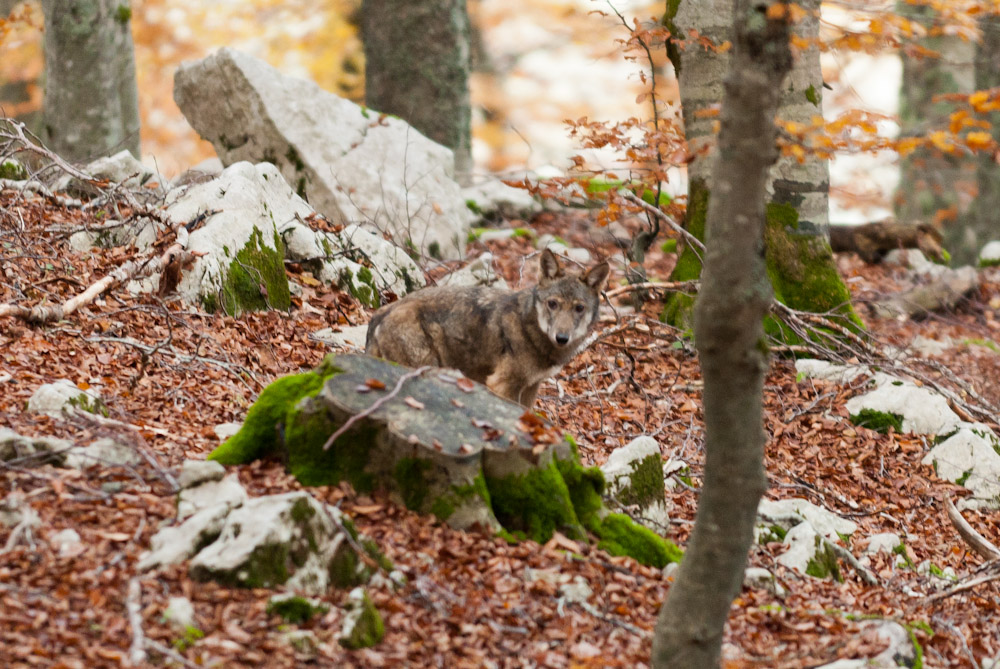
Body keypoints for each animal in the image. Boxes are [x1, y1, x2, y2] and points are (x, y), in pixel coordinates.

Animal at [365, 248, 610, 406]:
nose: (562, 337)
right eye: (553, 304)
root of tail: (380, 314)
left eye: (579, 308)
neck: (530, 328)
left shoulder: (531, 387)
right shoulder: (503, 385)